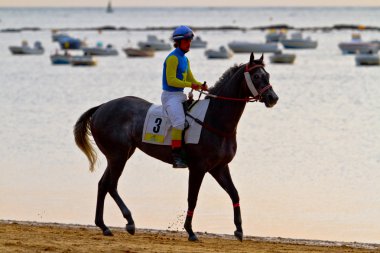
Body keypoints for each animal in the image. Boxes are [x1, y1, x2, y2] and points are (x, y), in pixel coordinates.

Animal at [73, 52, 280, 242]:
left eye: (268, 75)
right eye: (256, 76)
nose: (273, 97)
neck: (215, 119)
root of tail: (101, 107)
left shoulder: (219, 167)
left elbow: (235, 194)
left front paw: (239, 229)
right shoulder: (198, 168)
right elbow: (192, 198)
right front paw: (190, 231)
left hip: (119, 154)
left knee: (103, 184)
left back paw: (103, 225)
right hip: (118, 155)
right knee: (111, 185)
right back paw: (129, 221)